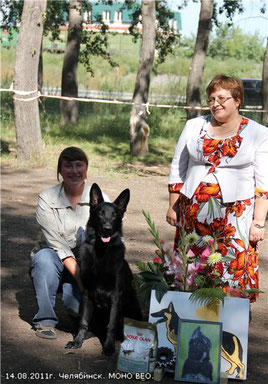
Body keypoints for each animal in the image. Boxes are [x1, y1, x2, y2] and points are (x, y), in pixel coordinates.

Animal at [65, 184, 143, 356]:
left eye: (114, 215)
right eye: (100, 213)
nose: (107, 229)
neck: (101, 252)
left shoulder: (115, 296)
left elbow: (111, 325)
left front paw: (108, 347)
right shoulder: (87, 294)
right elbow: (83, 321)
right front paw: (77, 341)